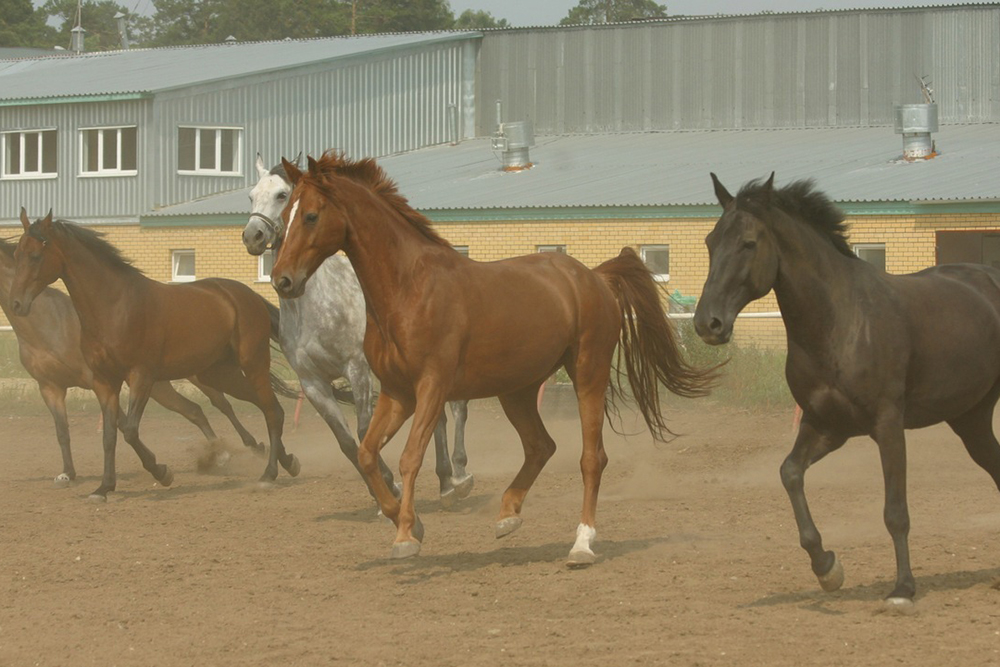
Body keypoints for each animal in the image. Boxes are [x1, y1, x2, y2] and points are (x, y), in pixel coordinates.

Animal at [8, 210, 300, 500]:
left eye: (36, 255)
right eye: (16, 254)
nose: (16, 304)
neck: (114, 306)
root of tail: (246, 295)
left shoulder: (141, 377)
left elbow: (129, 430)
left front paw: (162, 472)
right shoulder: (104, 382)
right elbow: (109, 436)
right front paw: (104, 488)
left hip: (252, 364)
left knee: (271, 411)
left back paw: (269, 474)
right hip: (219, 373)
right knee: (269, 407)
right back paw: (288, 462)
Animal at [244, 154, 474, 508]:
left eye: (282, 195)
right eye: (252, 196)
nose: (252, 236)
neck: (315, 305)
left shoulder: (358, 369)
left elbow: (366, 431)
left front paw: (390, 486)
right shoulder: (313, 384)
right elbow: (347, 442)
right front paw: (383, 493)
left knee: (457, 408)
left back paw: (460, 475)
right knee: (438, 418)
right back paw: (446, 480)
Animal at [270, 154, 716, 568]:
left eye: (310, 215)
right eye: (285, 215)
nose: (282, 280)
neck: (409, 289)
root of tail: (595, 277)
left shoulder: (431, 388)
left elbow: (410, 457)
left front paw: (405, 536)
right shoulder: (397, 393)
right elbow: (365, 454)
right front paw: (408, 521)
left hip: (588, 372)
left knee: (592, 458)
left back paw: (582, 545)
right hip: (517, 390)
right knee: (540, 446)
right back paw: (508, 514)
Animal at [696, 175, 1000, 612]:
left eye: (749, 243)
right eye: (710, 241)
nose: (708, 324)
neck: (840, 321)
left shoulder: (888, 425)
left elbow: (895, 511)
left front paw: (902, 589)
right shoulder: (826, 425)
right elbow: (790, 473)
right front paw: (827, 568)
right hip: (970, 418)